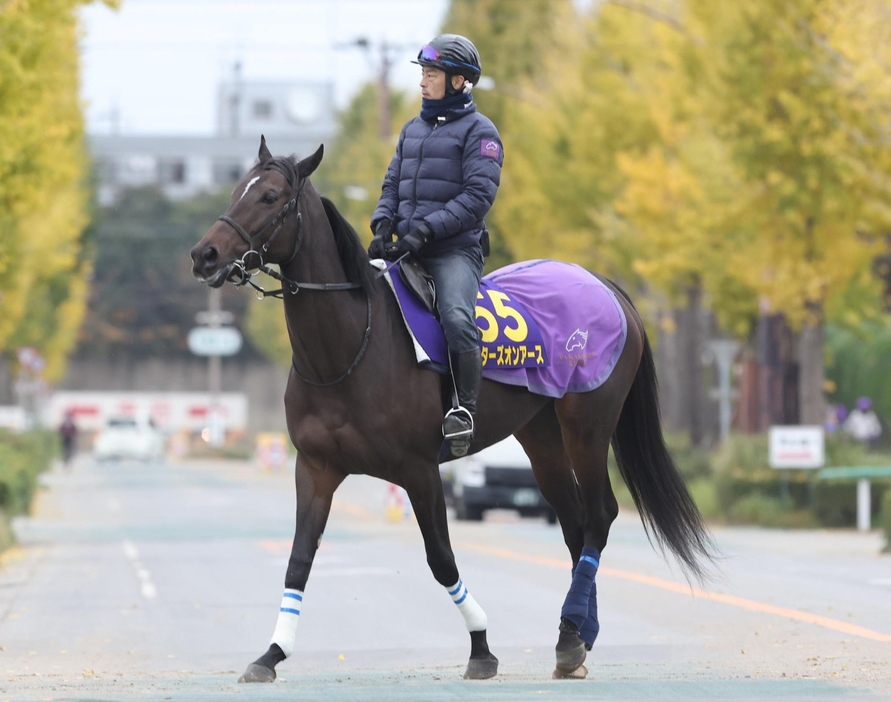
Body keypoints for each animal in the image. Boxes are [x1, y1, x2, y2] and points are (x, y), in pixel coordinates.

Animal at [190, 136, 716, 680]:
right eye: (237, 189)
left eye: (270, 196)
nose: (205, 254)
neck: (353, 345)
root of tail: (606, 287)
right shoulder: (316, 467)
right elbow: (299, 559)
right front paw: (271, 653)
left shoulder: (419, 469)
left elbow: (441, 558)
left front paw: (481, 646)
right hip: (542, 436)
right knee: (574, 522)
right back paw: (575, 635)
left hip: (587, 426)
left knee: (599, 515)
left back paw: (572, 633)